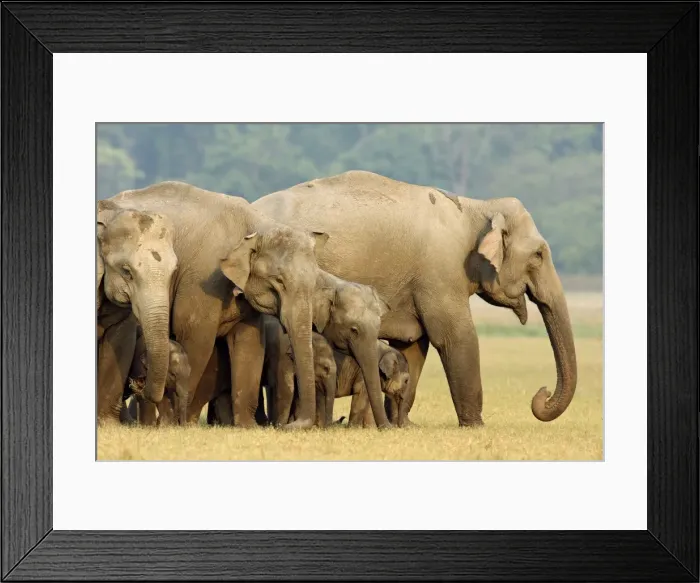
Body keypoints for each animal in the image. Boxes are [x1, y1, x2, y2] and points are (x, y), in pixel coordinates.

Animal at [106, 181, 329, 430]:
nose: (288, 426)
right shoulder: (202, 282)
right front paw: (180, 424)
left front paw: (247, 427)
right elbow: (197, 340)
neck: (256, 224)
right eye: (279, 281)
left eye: (315, 281)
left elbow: (250, 342)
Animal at [253, 170, 577, 427]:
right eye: (539, 255)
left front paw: (405, 425)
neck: (475, 207)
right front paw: (476, 426)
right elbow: (455, 337)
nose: (542, 394)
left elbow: (413, 346)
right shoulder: (441, 273)